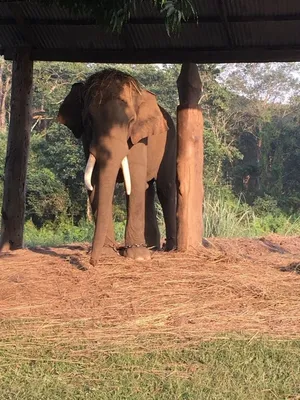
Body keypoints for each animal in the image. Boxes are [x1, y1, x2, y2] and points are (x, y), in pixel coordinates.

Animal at [57, 69, 177, 266]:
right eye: (88, 121)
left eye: (131, 121)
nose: (92, 262)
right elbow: (96, 181)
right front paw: (107, 252)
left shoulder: (139, 138)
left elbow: (134, 180)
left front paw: (138, 257)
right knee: (147, 189)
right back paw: (152, 247)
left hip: (170, 140)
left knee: (164, 188)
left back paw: (169, 248)